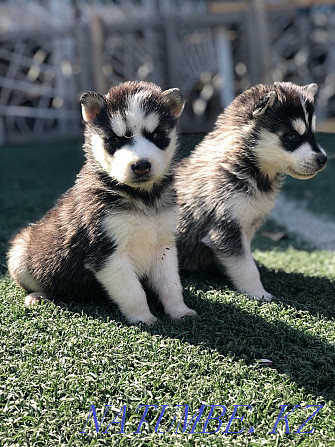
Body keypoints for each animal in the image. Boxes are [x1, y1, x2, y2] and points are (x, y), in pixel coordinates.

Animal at [7, 80, 197, 326]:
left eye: (156, 135)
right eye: (114, 140)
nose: (141, 166)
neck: (142, 197)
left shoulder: (164, 244)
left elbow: (171, 285)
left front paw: (180, 312)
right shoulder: (106, 253)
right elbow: (134, 292)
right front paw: (144, 319)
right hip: (20, 253)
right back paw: (37, 296)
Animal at [177, 82, 330, 302]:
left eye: (313, 134)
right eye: (292, 136)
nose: (323, 159)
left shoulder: (247, 224)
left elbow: (246, 257)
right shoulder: (225, 227)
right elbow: (246, 266)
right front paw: (259, 293)